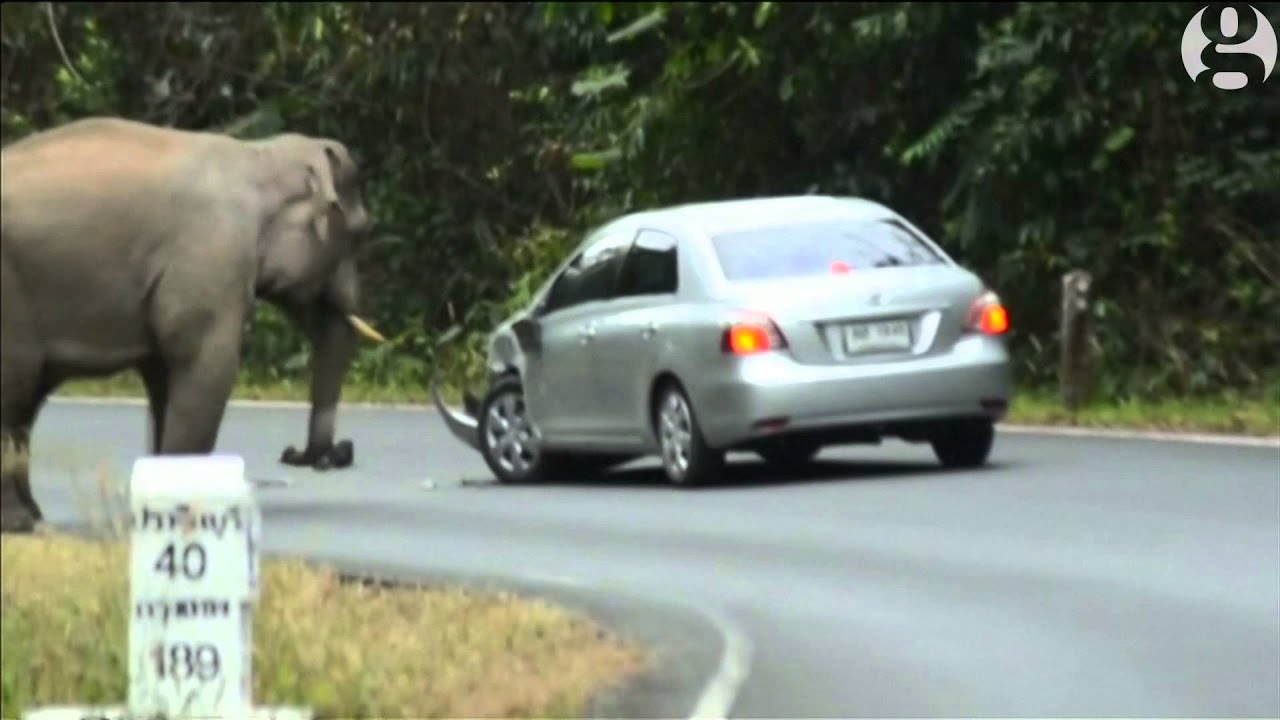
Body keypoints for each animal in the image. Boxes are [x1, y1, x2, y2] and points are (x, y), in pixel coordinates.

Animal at [0, 116, 387, 533]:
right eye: (359, 233)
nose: (329, 453)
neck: (260, 155)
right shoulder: (214, 256)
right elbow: (205, 366)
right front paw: (181, 513)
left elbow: (163, 376)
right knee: (17, 382)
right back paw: (20, 523)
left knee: (28, 396)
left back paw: (35, 520)